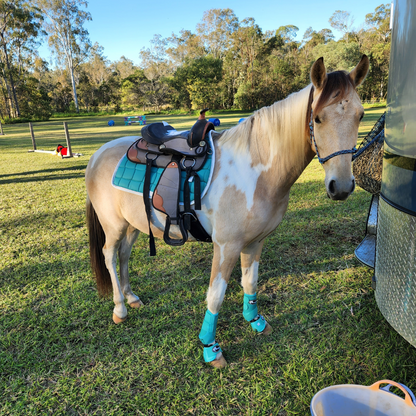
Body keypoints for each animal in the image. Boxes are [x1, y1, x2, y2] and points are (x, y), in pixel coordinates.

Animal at [85, 54, 370, 368]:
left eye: (360, 115)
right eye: (317, 118)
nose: (340, 186)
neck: (254, 171)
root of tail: (99, 153)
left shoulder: (255, 242)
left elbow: (250, 282)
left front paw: (255, 321)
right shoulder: (226, 246)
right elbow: (216, 296)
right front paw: (211, 348)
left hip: (133, 225)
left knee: (123, 256)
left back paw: (131, 297)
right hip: (113, 226)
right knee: (110, 256)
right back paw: (120, 308)